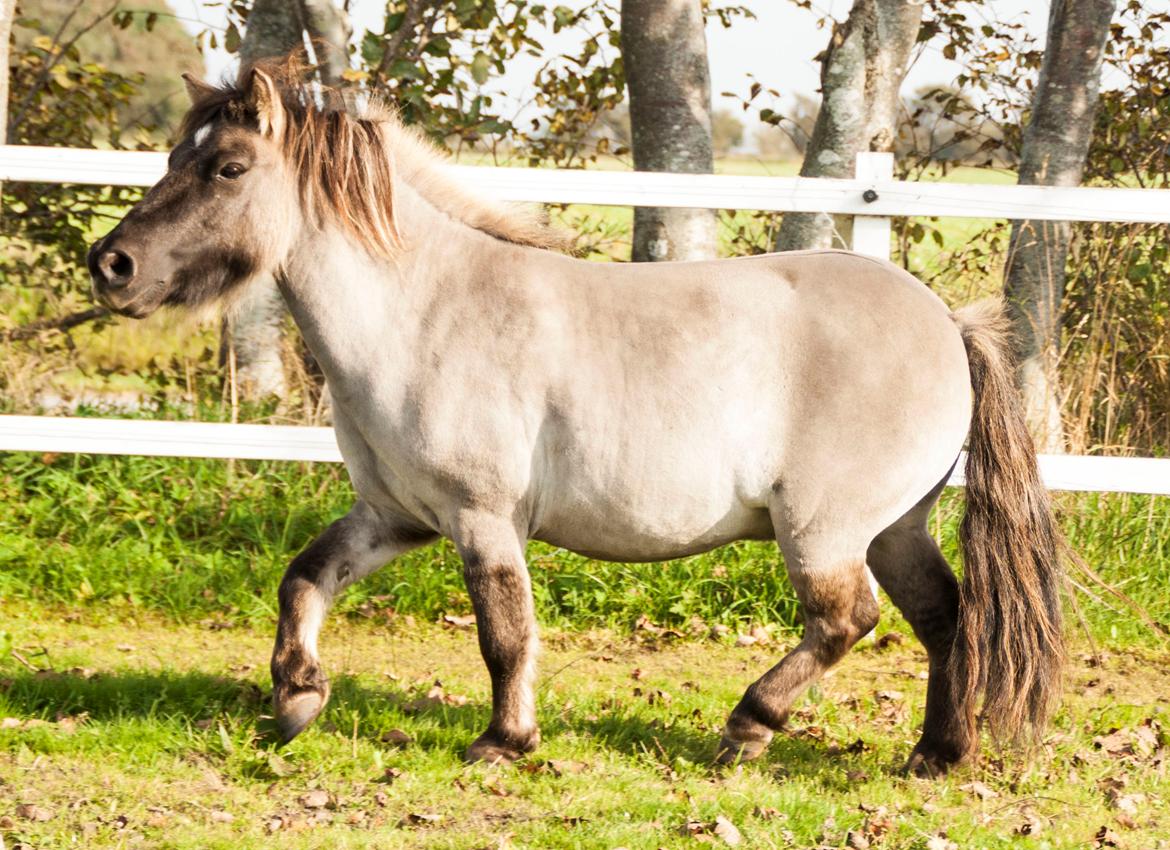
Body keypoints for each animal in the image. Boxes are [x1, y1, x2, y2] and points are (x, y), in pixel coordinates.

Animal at [88, 61, 1064, 776]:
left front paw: (503, 742)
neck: (423, 308)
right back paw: (935, 755)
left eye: (228, 168)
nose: (112, 265)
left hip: (824, 530)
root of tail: (946, 320)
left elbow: (505, 635)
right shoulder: (396, 516)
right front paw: (295, 699)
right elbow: (305, 578)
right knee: (947, 617)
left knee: (846, 619)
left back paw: (748, 727)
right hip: (897, 526)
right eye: (173, 157)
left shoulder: (482, 518)